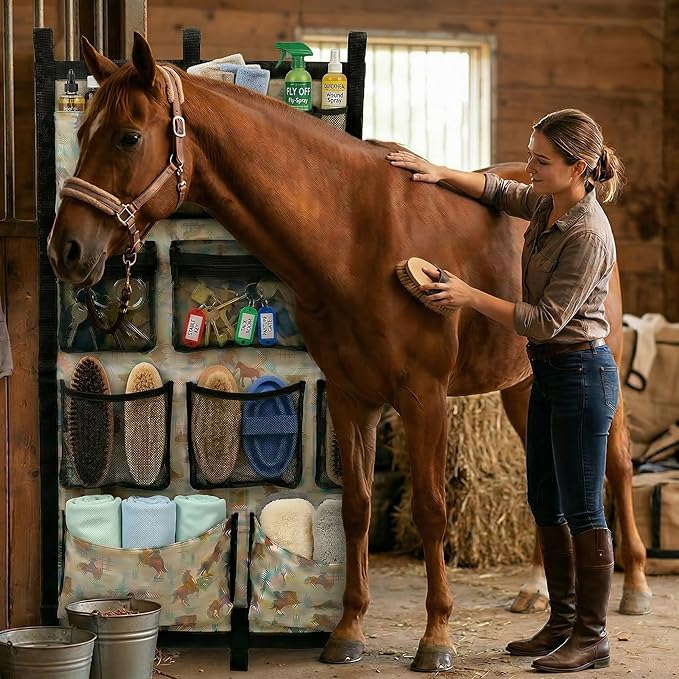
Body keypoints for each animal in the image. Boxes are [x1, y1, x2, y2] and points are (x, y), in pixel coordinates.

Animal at [47, 33, 651, 672]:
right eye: (81, 132)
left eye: (129, 137)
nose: (67, 250)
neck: (355, 234)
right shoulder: (350, 394)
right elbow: (357, 506)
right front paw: (349, 631)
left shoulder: (424, 397)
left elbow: (432, 510)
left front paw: (436, 638)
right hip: (523, 387)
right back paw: (536, 593)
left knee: (615, 466)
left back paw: (634, 587)